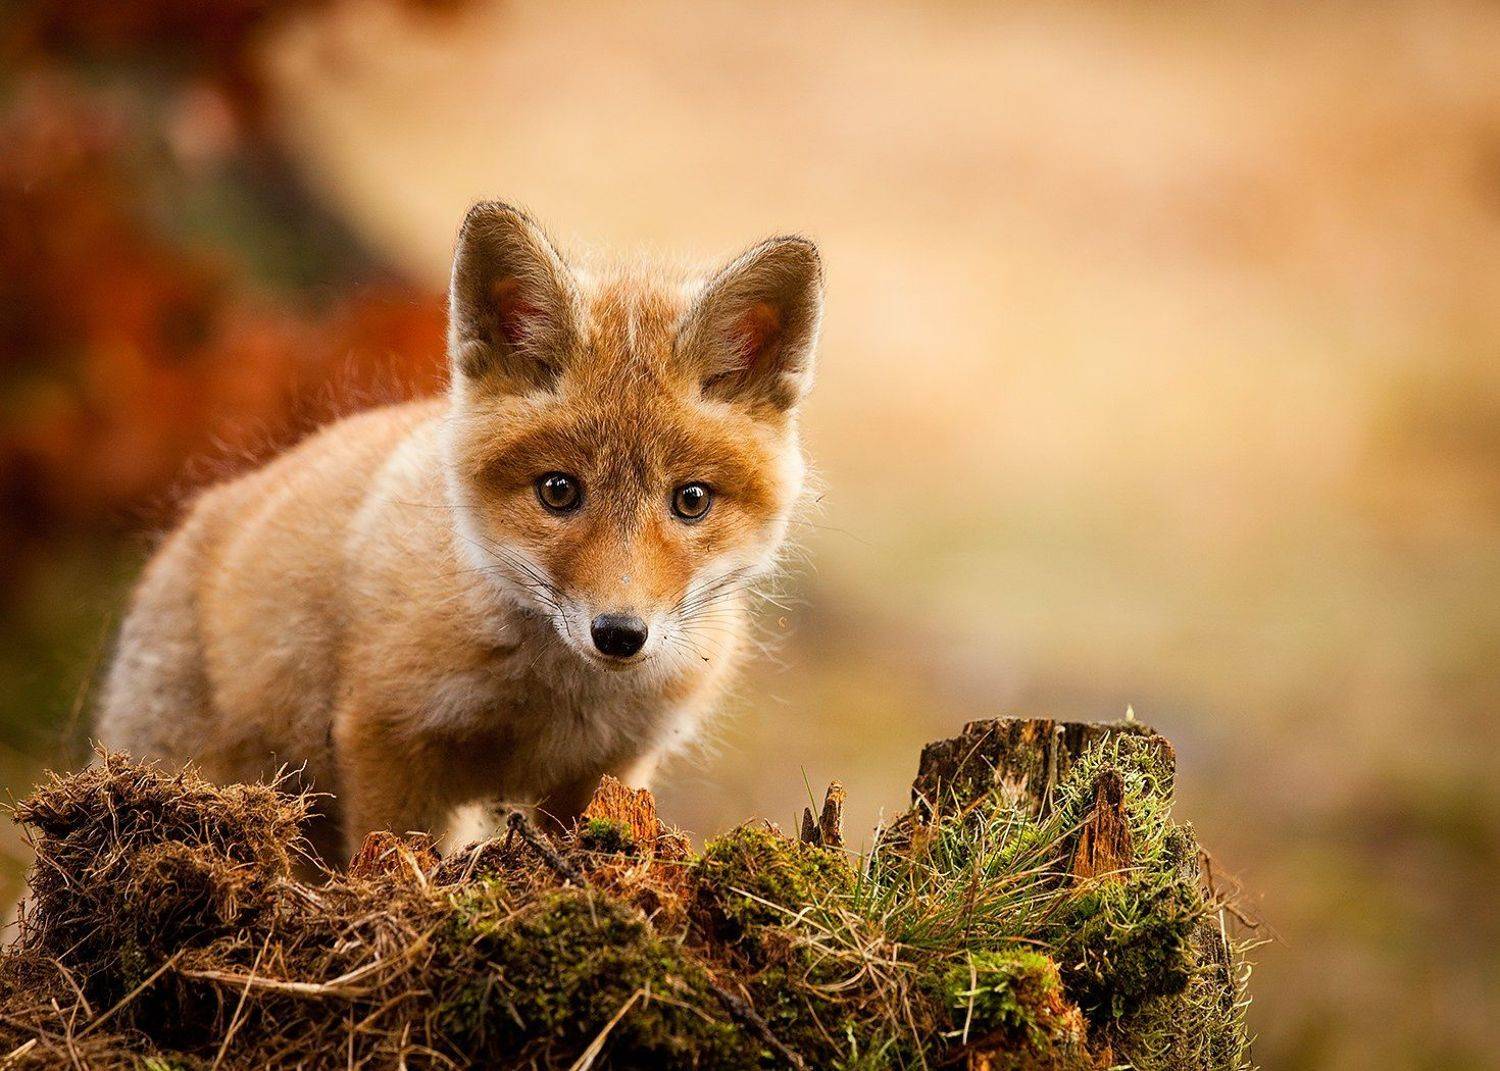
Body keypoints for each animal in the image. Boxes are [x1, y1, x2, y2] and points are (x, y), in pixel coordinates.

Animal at [96, 202, 823, 864]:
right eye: (558, 491)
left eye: (691, 500)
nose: (619, 634)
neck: (556, 702)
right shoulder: (387, 736)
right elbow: (391, 855)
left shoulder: (609, 769)